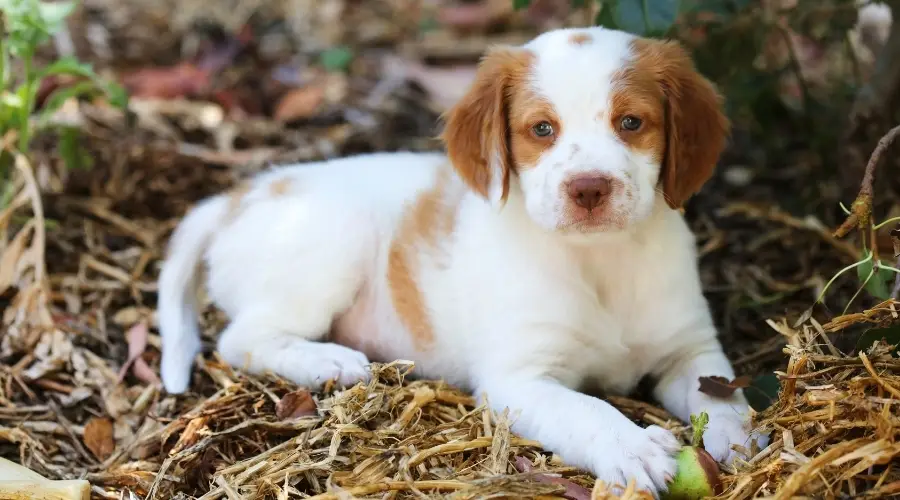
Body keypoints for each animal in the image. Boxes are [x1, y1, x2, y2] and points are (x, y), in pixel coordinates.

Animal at [158, 26, 764, 496]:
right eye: (542, 129)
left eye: (631, 123)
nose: (588, 189)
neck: (600, 262)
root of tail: (236, 197)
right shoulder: (518, 379)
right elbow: (585, 410)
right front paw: (633, 448)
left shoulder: (690, 349)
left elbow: (721, 392)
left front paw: (741, 434)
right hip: (333, 242)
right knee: (241, 337)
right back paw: (330, 360)